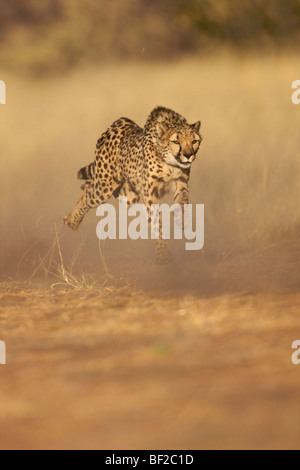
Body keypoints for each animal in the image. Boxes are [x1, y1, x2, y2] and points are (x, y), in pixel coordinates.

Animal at [64, 106, 203, 264]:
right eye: (176, 142)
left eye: (194, 141)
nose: (188, 155)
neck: (170, 163)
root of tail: (118, 122)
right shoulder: (149, 193)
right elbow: (156, 222)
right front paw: (163, 254)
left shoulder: (181, 184)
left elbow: (182, 204)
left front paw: (182, 221)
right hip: (105, 187)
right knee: (89, 195)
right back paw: (72, 221)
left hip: (128, 195)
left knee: (89, 186)